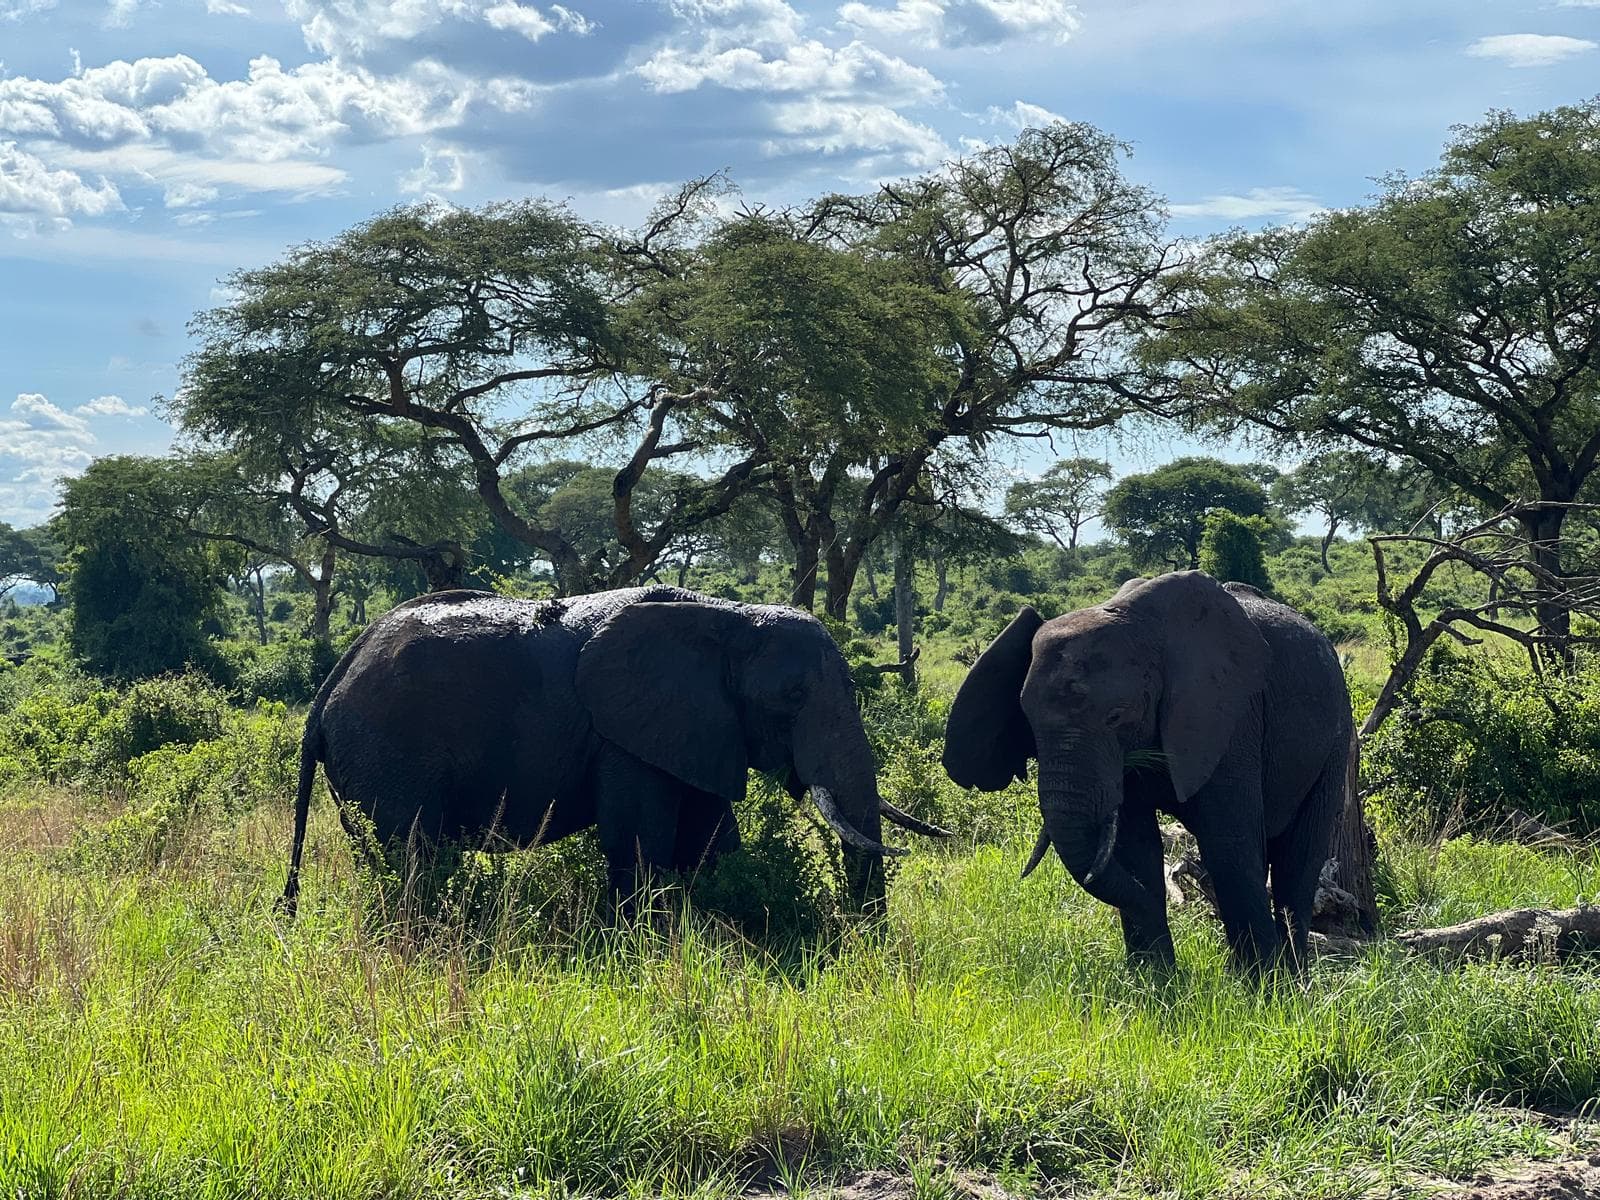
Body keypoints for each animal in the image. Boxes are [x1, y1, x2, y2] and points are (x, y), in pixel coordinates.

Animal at [279, 585, 947, 917]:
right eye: (791, 698)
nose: (862, 943)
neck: (728, 617)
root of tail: (327, 690)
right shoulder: (625, 736)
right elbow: (641, 839)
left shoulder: (696, 726)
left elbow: (710, 840)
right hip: (387, 754)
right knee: (411, 853)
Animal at [942, 571, 1353, 971]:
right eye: (1025, 720)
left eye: (1115, 717)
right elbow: (1136, 847)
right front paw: (1156, 984)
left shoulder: (1229, 716)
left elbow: (1228, 842)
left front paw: (1262, 984)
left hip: (1338, 738)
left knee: (1299, 858)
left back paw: (1293, 974)